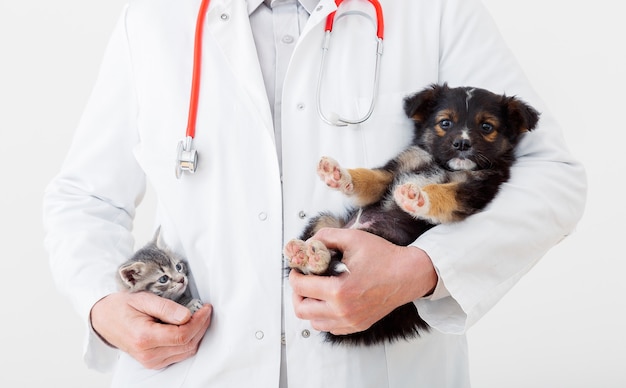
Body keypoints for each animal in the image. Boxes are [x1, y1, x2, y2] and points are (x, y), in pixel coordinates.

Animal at [286, 82, 540, 346]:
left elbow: (445, 194)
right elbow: (370, 178)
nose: (462, 144)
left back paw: (314, 257)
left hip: (390, 237)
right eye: (445, 123)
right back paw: (305, 255)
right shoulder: (395, 171)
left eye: (487, 127)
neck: (440, 164)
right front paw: (339, 175)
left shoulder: (475, 190)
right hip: (325, 221)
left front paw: (418, 197)